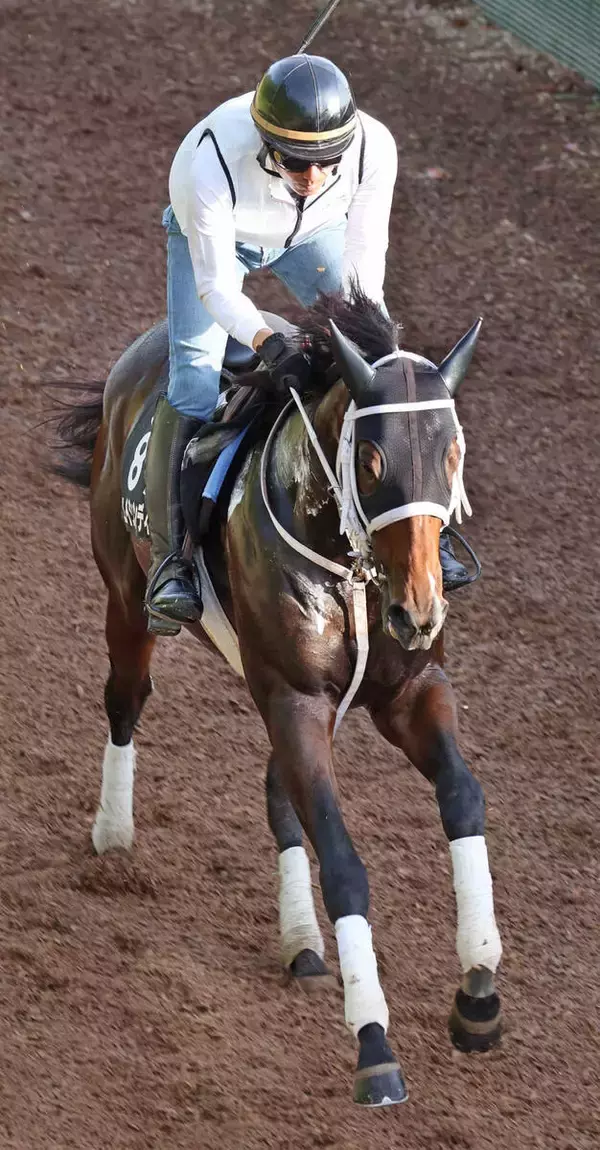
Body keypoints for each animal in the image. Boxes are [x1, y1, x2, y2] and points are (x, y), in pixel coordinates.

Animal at [51, 287, 503, 1107]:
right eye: (373, 459)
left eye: (452, 453)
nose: (420, 608)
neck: (350, 567)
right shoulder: (296, 700)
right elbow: (345, 864)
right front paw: (374, 1044)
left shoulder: (407, 690)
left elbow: (462, 796)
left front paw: (479, 991)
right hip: (127, 599)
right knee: (125, 699)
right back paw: (112, 835)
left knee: (276, 792)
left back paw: (301, 942)